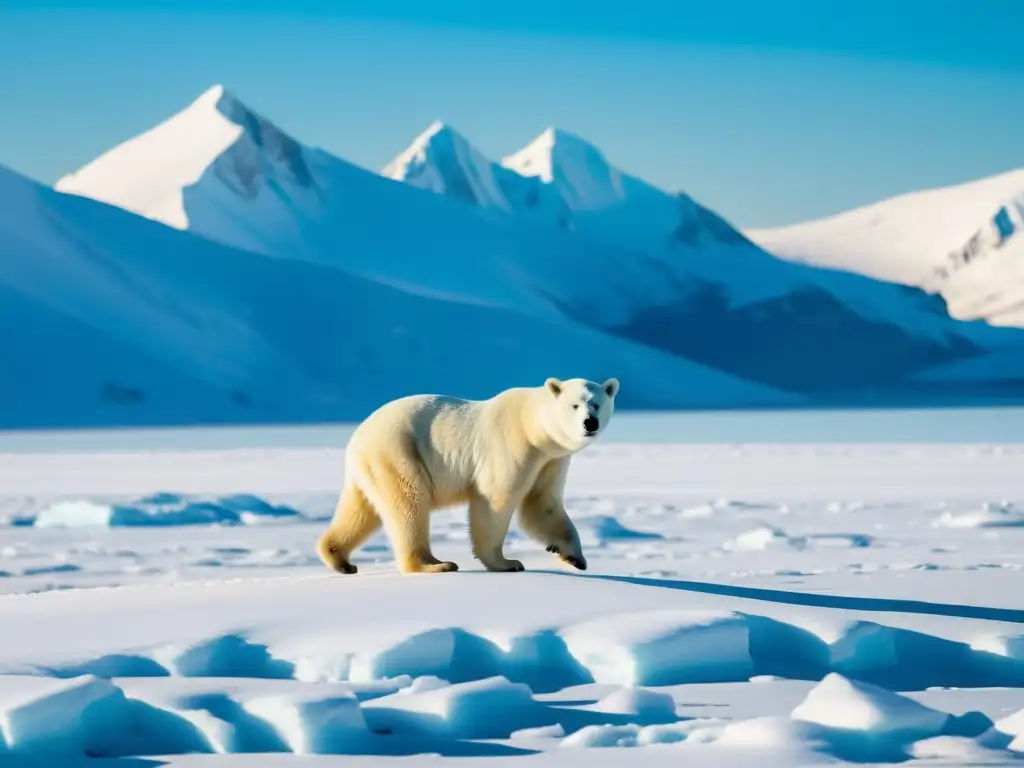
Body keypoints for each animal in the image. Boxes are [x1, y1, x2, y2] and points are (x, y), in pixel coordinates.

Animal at [313, 378, 614, 577]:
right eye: (575, 405)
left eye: (597, 404)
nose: (590, 422)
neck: (532, 425)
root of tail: (356, 437)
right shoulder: (512, 445)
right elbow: (495, 500)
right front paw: (507, 563)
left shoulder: (551, 461)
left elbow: (541, 505)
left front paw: (574, 557)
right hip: (399, 453)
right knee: (409, 505)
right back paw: (434, 564)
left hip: (371, 467)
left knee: (360, 511)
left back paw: (339, 559)